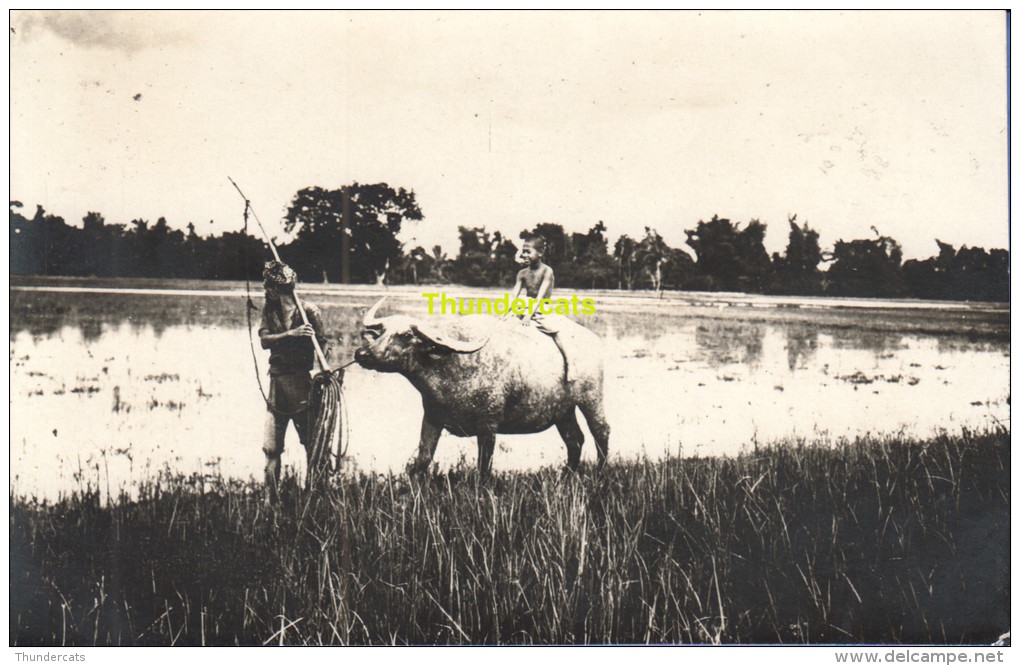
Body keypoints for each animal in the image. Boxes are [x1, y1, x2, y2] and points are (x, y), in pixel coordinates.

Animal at [354, 295, 607, 473]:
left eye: (406, 336)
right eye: (381, 331)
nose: (362, 353)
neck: (450, 367)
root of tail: (595, 341)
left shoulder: (488, 426)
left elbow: (483, 469)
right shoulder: (432, 419)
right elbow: (421, 461)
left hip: (592, 399)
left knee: (601, 431)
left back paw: (600, 472)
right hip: (563, 410)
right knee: (575, 439)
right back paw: (567, 474)